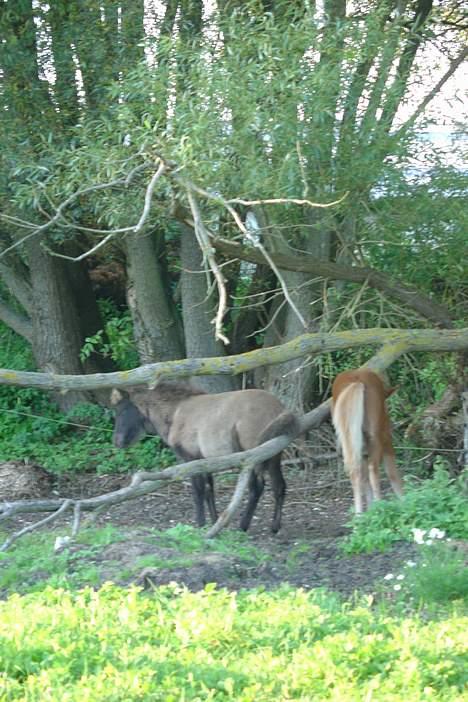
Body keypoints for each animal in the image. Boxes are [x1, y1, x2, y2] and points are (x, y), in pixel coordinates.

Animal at [111, 384, 298, 532]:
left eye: (122, 410)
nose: (117, 441)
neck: (172, 416)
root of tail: (280, 409)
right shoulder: (204, 460)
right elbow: (209, 490)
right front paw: (214, 521)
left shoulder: (190, 458)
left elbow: (197, 491)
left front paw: (200, 524)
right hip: (274, 454)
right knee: (279, 486)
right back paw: (274, 526)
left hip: (252, 454)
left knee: (256, 487)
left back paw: (243, 525)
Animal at [330, 372, 404, 516]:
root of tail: (357, 381)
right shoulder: (387, 442)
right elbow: (393, 474)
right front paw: (405, 500)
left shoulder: (362, 452)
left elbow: (364, 480)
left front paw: (370, 510)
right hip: (376, 439)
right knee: (373, 470)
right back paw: (381, 507)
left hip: (350, 442)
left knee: (356, 473)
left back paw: (359, 516)